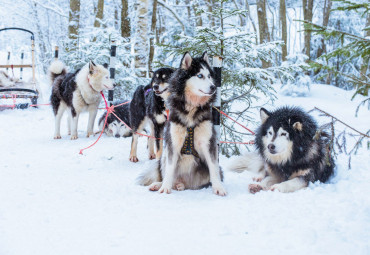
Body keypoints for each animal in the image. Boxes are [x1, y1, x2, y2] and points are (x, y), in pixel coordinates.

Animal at [138, 51, 225, 195]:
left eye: (209, 76)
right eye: (200, 76)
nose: (213, 87)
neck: (191, 108)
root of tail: (184, 181)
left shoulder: (209, 143)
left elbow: (214, 168)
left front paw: (218, 188)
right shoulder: (173, 143)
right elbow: (169, 170)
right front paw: (164, 188)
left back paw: (180, 186)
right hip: (164, 156)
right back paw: (159, 185)